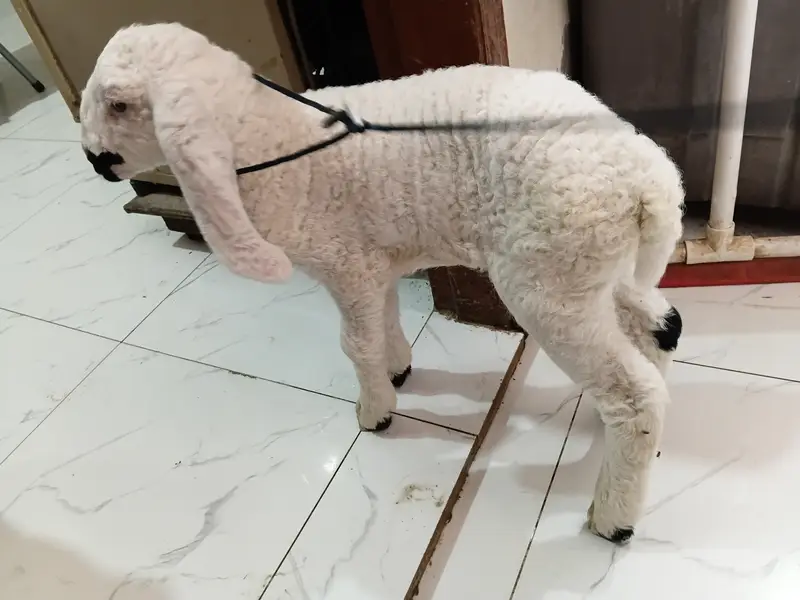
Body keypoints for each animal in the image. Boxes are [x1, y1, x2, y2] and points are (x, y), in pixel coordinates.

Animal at [79, 22, 685, 543]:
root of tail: (649, 178)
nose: (93, 161)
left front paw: (375, 410)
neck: (271, 140)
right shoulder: (374, 261)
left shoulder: (346, 266)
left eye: (119, 104)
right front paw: (398, 369)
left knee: (634, 394)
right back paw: (636, 446)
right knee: (663, 326)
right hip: (593, 268)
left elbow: (356, 343)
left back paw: (614, 517)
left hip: (547, 281)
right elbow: (386, 320)